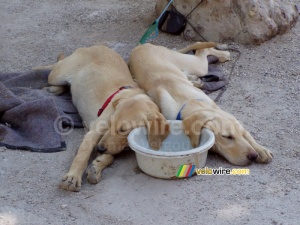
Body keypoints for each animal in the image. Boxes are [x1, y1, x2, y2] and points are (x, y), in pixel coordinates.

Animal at [35, 45, 169, 192]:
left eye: (124, 130)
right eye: (110, 123)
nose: (99, 148)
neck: (132, 95)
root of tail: (96, 45)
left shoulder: (112, 144)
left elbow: (110, 155)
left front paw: (96, 166)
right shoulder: (92, 134)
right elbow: (82, 155)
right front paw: (73, 177)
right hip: (58, 74)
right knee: (55, 66)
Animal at [127, 41, 274, 165]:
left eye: (241, 134)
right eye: (227, 137)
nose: (253, 156)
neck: (191, 103)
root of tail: (141, 46)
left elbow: (249, 136)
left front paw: (261, 149)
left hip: (194, 66)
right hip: (197, 66)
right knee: (201, 50)